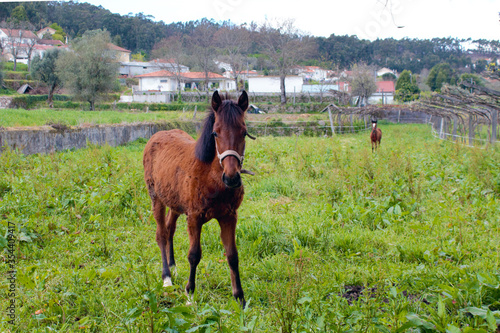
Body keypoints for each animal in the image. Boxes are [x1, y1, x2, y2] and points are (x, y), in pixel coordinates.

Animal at [143, 91, 252, 306]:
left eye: (244, 132)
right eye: (215, 133)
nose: (232, 177)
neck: (211, 177)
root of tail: (156, 135)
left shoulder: (229, 217)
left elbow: (232, 255)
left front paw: (240, 299)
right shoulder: (194, 217)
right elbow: (194, 255)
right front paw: (190, 295)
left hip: (175, 203)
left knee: (169, 229)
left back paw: (173, 266)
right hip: (156, 198)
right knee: (161, 234)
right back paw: (166, 277)